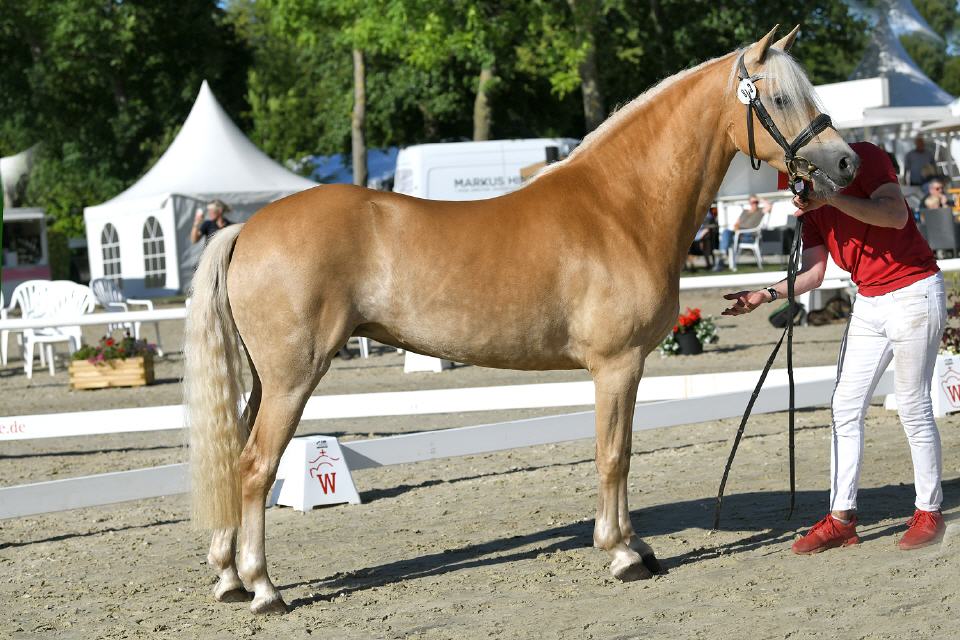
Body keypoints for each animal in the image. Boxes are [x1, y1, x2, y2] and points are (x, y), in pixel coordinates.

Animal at [186, 26, 856, 616]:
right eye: (779, 97)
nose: (847, 163)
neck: (621, 207)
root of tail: (247, 227)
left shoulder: (630, 368)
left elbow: (625, 450)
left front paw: (635, 545)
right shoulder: (615, 366)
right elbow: (612, 454)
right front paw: (621, 554)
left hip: (265, 381)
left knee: (234, 456)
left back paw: (229, 578)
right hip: (294, 378)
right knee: (254, 468)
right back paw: (264, 588)